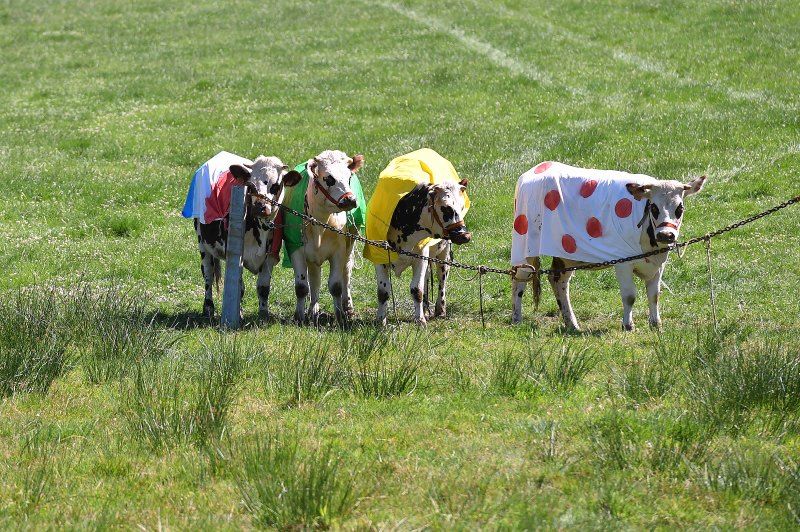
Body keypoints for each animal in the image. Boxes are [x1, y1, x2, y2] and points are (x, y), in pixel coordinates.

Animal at [191, 154, 301, 320]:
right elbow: (239, 287)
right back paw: (208, 308)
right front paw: (239, 314)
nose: (260, 207)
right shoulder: (237, 255)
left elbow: (263, 287)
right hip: (203, 245)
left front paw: (263, 314)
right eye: (251, 185)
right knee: (208, 275)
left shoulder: (269, 257)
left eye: (275, 186)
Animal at [285, 150, 366, 325]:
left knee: (346, 273)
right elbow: (302, 287)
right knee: (314, 279)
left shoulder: (339, 252)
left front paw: (340, 316)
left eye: (349, 176)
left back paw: (348, 307)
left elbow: (336, 286)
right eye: (329, 178)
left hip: (350, 244)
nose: (350, 200)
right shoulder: (296, 249)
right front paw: (299, 316)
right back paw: (313, 309)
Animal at [510, 161, 706, 331]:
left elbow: (654, 295)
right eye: (654, 207)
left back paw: (571, 323)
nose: (666, 234)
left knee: (558, 279)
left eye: (680, 208)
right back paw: (517, 319)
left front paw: (655, 324)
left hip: (566, 252)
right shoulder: (623, 262)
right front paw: (628, 325)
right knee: (520, 278)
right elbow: (630, 296)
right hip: (524, 245)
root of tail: (539, 167)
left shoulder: (658, 264)